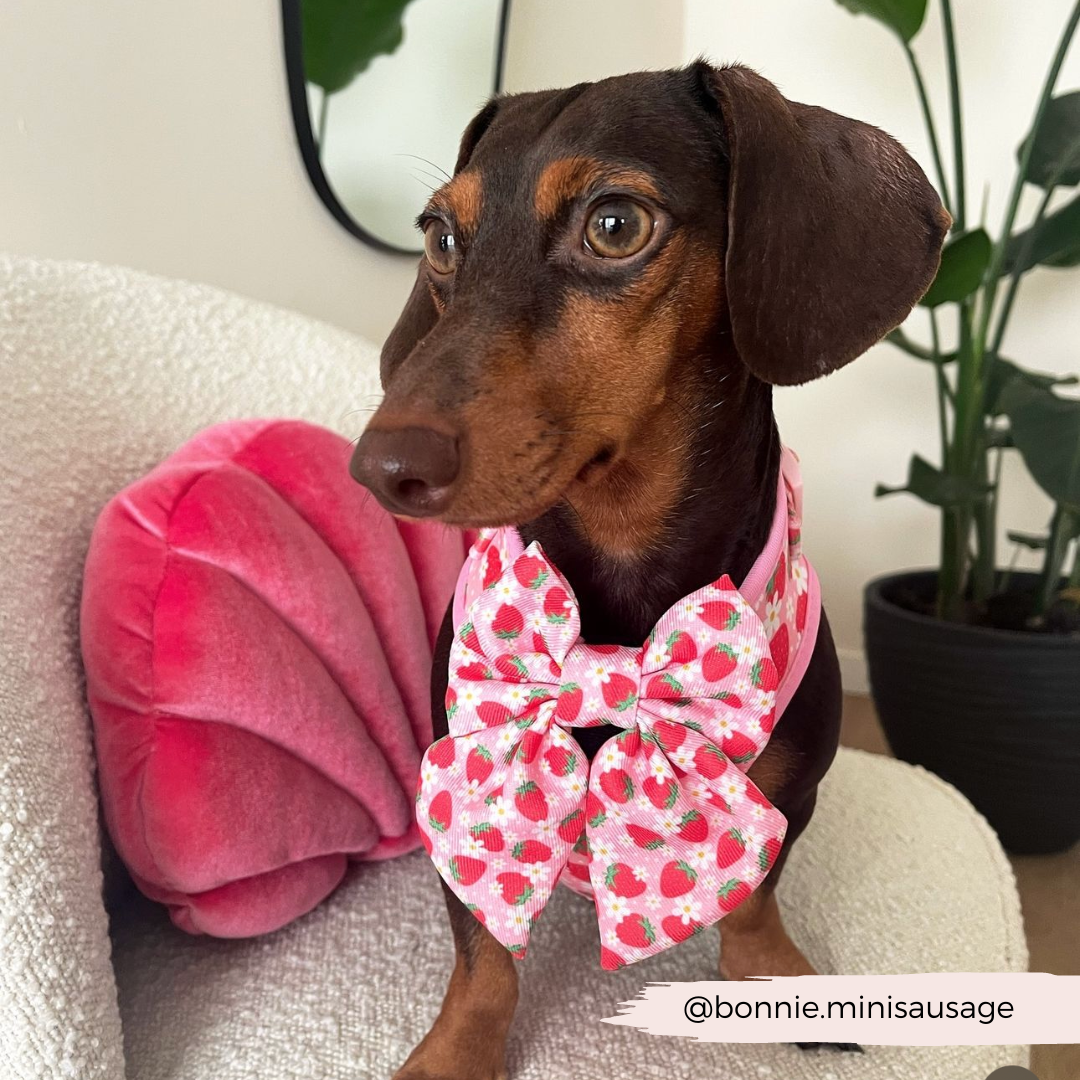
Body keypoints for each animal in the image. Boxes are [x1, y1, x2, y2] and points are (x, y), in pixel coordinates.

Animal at [352, 65, 946, 1080]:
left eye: (616, 224)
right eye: (440, 237)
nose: (382, 466)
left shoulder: (793, 794)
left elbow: (756, 892)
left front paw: (772, 974)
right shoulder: (472, 783)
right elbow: (484, 946)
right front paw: (454, 1051)